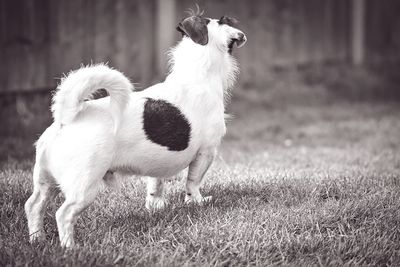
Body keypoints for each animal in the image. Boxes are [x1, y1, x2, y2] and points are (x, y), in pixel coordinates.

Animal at [25, 12, 247, 247]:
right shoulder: (206, 152)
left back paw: (36, 239)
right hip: (84, 186)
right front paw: (197, 202)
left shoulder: (158, 166)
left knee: (34, 206)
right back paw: (70, 247)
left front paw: (156, 207)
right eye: (223, 22)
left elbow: (155, 185)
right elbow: (193, 182)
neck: (197, 74)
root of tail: (67, 118)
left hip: (46, 182)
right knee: (63, 214)